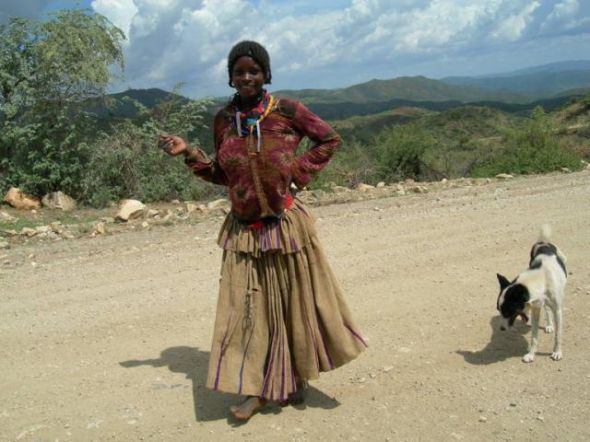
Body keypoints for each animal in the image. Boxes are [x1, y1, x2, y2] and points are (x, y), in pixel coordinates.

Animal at [500, 224, 568, 362]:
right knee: (547, 309)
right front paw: (531, 354)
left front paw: (557, 352)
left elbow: (558, 335)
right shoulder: (536, 309)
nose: (502, 329)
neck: (542, 277)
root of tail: (543, 242)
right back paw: (549, 325)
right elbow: (534, 336)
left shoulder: (558, 310)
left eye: (507, 312)